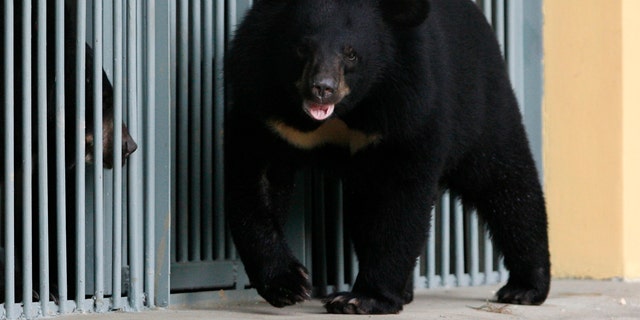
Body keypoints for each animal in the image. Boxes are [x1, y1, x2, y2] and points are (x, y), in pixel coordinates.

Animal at [225, 0, 552, 316]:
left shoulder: (409, 106)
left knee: (506, 185)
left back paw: (524, 288)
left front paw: (360, 300)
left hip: (481, 103)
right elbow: (255, 181)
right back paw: (406, 291)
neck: (343, 113)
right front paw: (289, 284)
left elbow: (402, 198)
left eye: (351, 54)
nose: (322, 89)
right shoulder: (264, 108)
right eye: (302, 47)